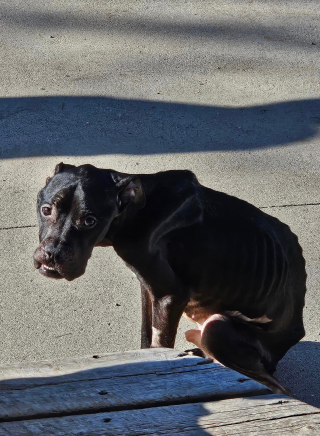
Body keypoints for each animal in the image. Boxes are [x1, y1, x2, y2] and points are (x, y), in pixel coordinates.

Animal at [33, 164, 306, 396]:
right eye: (46, 210)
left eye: (89, 220)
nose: (52, 255)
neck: (135, 213)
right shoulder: (148, 289)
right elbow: (148, 340)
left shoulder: (170, 295)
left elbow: (159, 343)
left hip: (217, 328)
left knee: (278, 388)